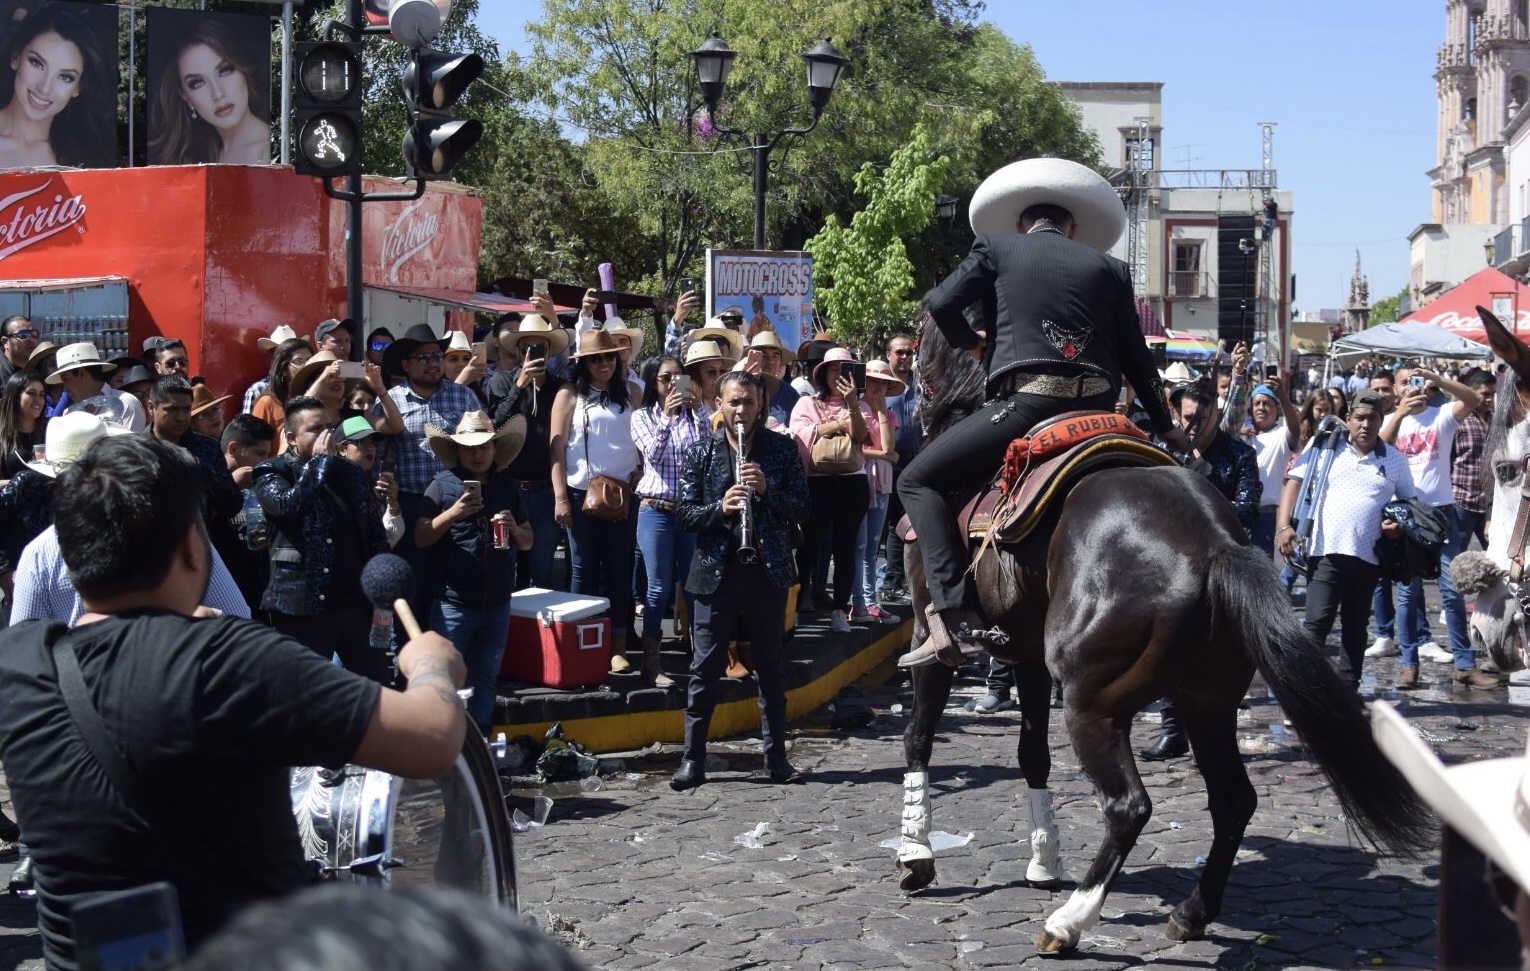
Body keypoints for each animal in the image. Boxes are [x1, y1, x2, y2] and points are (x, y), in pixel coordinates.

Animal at [893, 316, 1432, 948]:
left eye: (919, 345)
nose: (917, 399)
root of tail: (1214, 544)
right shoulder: (1025, 657)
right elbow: (1032, 756)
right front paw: (1043, 861)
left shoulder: (934, 643)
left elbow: (919, 739)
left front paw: (915, 856)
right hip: (1206, 700)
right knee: (1233, 800)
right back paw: (1191, 911)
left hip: (1093, 704)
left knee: (1129, 807)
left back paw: (1070, 923)